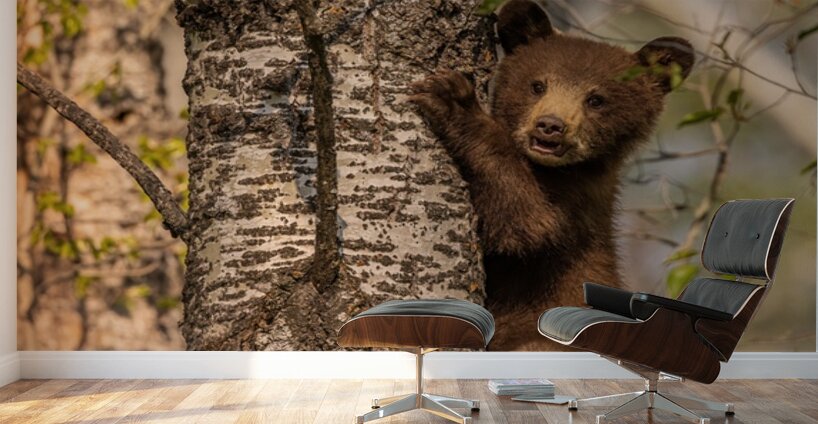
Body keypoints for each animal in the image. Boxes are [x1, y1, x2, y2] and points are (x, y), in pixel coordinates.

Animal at [409, 0, 695, 351]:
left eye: (596, 99)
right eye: (537, 85)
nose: (550, 125)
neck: (553, 171)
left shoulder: (574, 203)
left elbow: (526, 222)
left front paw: (453, 101)